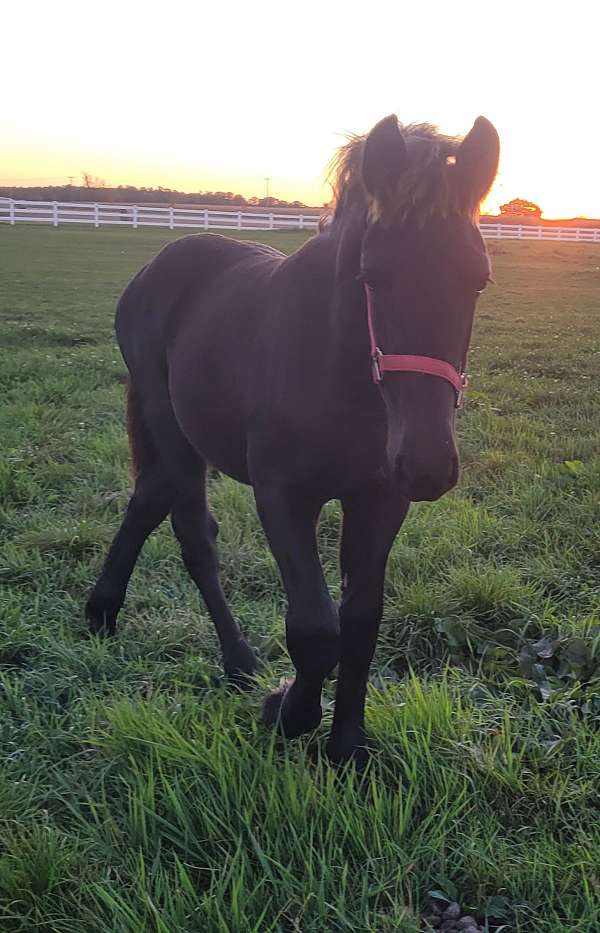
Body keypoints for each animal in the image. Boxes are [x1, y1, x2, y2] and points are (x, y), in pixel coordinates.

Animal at [86, 113, 500, 760]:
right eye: (372, 276)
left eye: (478, 280)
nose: (429, 465)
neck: (341, 380)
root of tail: (163, 262)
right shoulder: (282, 493)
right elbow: (314, 627)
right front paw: (287, 710)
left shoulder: (381, 498)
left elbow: (361, 620)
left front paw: (347, 744)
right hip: (172, 429)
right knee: (191, 532)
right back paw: (237, 660)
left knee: (149, 498)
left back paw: (103, 613)